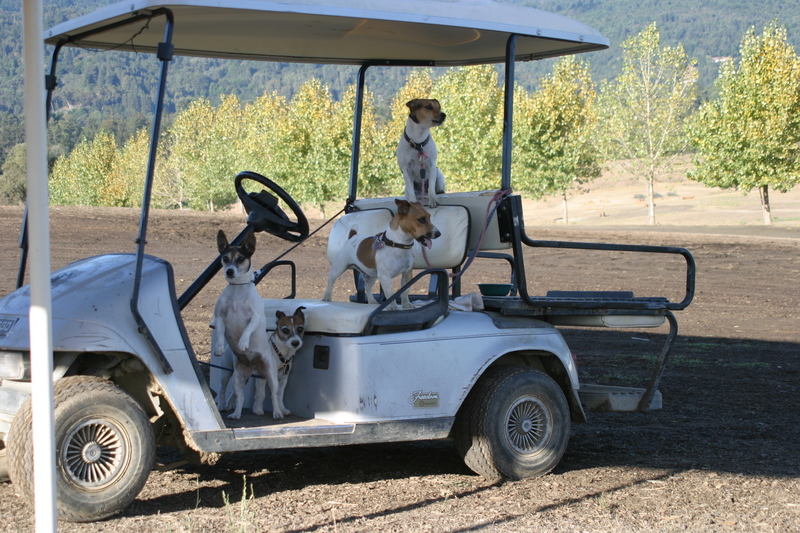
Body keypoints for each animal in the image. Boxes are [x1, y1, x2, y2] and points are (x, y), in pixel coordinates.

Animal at [211, 229, 305, 420]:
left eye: (241, 258)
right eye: (225, 258)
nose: (229, 271)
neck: (237, 291)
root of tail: (253, 366)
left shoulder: (255, 316)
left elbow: (247, 329)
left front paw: (243, 342)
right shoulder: (220, 317)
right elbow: (220, 332)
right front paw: (218, 347)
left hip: (270, 377)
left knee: (273, 395)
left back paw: (276, 413)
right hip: (233, 375)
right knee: (231, 392)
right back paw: (232, 411)